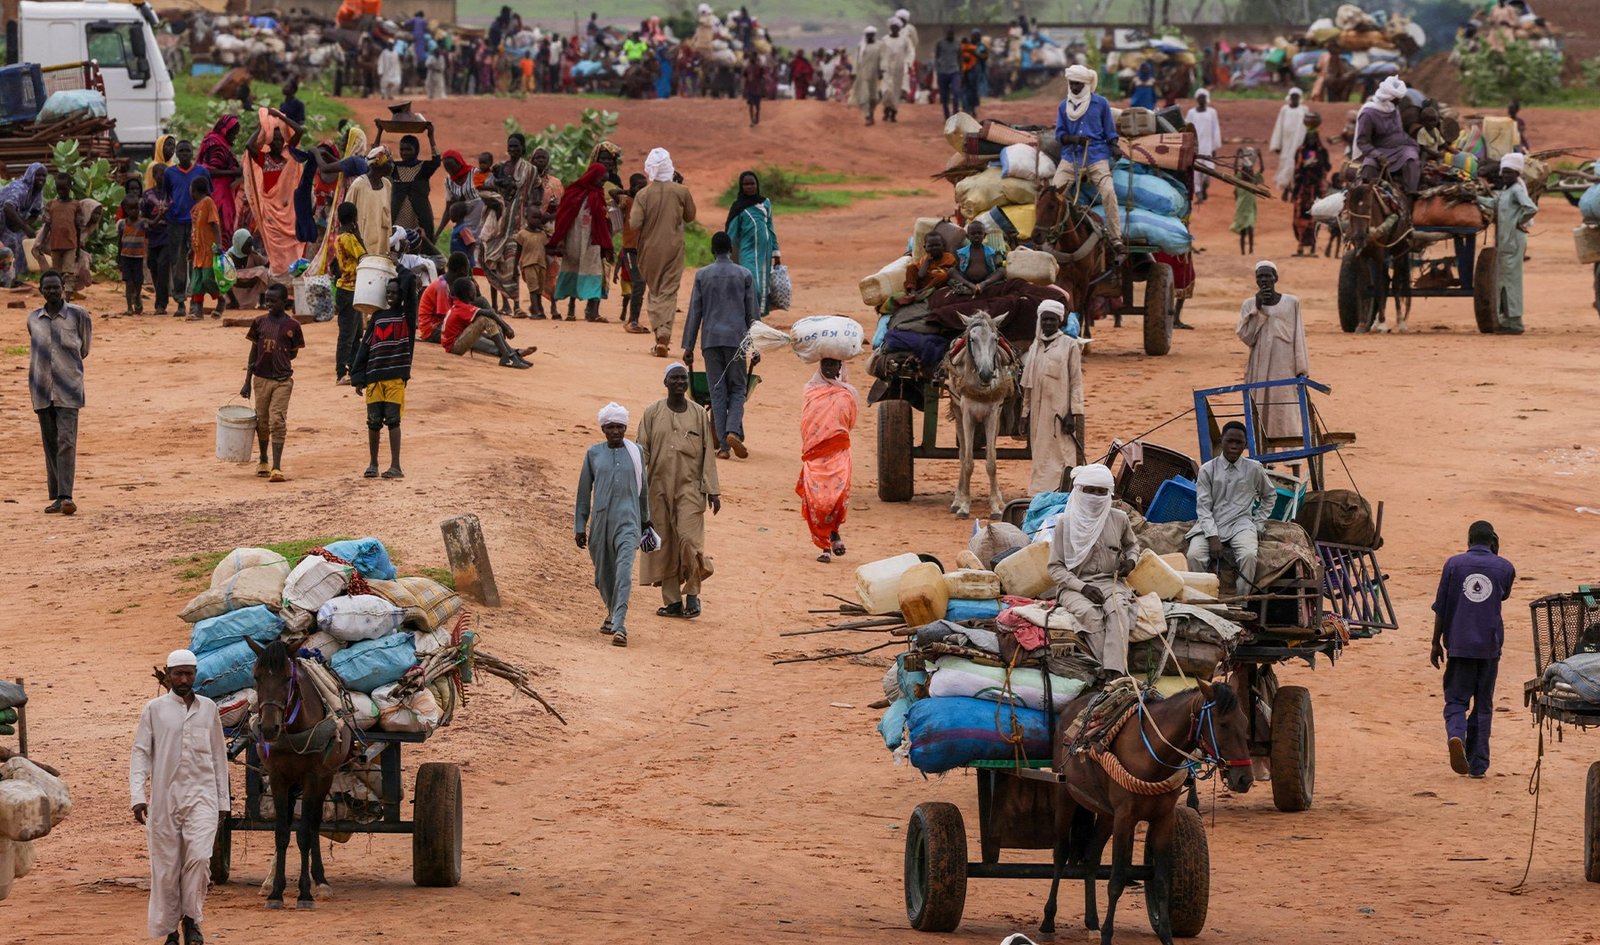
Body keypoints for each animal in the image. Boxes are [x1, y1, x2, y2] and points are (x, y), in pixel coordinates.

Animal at [241, 639, 352, 914]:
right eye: (256, 676)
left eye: (288, 678)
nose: (268, 728)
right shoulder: (278, 777)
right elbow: (282, 832)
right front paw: (276, 894)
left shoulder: (313, 777)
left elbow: (303, 834)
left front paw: (305, 893)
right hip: (292, 785)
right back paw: (271, 882)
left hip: (325, 778)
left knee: (313, 824)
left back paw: (320, 882)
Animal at [940, 308, 1017, 518]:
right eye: (972, 339)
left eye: (995, 339)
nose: (986, 373)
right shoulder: (967, 414)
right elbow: (968, 461)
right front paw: (964, 505)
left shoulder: (993, 415)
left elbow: (992, 461)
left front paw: (996, 506)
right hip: (958, 413)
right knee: (961, 454)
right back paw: (957, 500)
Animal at [1043, 681, 1254, 945]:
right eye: (1223, 723)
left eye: (1245, 722)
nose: (1245, 779)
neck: (1152, 752)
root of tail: (1071, 708)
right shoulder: (1125, 818)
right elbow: (1116, 881)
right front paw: (1108, 935)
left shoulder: (1163, 818)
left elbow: (1161, 880)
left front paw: (1166, 935)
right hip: (1066, 797)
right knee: (1060, 854)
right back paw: (1048, 920)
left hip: (1106, 815)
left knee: (1091, 858)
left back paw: (1092, 922)